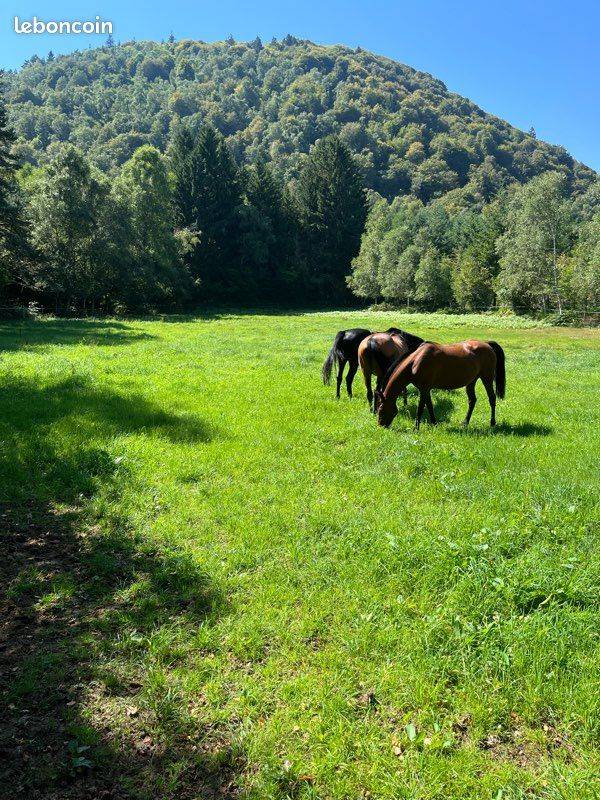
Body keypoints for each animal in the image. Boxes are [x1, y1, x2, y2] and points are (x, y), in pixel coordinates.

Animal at [375, 340, 506, 429]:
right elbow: (430, 406)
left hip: (487, 378)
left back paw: (492, 423)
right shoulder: (426, 389)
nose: (381, 425)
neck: (415, 362)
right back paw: (465, 423)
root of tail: (487, 344)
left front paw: (416, 428)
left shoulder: (424, 389)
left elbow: (420, 408)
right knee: (472, 401)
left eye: (381, 408)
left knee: (492, 398)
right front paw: (434, 423)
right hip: (471, 381)